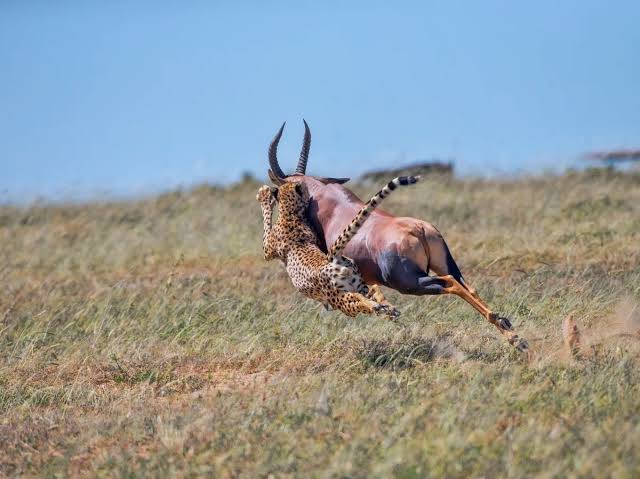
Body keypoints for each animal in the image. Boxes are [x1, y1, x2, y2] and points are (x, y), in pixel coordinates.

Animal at [256, 175, 421, 318]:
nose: (307, 189)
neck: (291, 213)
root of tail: (333, 259)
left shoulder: (267, 251)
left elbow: (266, 220)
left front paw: (264, 196)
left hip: (338, 299)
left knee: (357, 299)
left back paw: (377, 307)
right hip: (356, 285)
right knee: (372, 290)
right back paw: (388, 308)